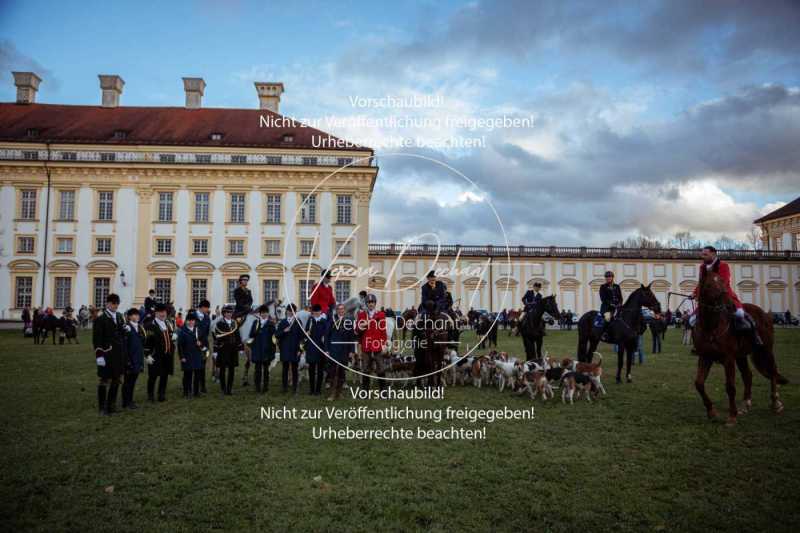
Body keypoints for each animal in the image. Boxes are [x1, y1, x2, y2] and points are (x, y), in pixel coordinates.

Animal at [692, 270, 788, 424]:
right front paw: (711, 412)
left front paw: (732, 416)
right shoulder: (705, 357)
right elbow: (699, 383)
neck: (711, 327)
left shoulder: (728, 358)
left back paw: (775, 403)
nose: (728, 303)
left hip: (766, 350)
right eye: (708, 284)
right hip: (741, 355)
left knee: (773, 371)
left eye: (723, 281)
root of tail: (765, 314)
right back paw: (745, 405)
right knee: (748, 375)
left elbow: (730, 386)